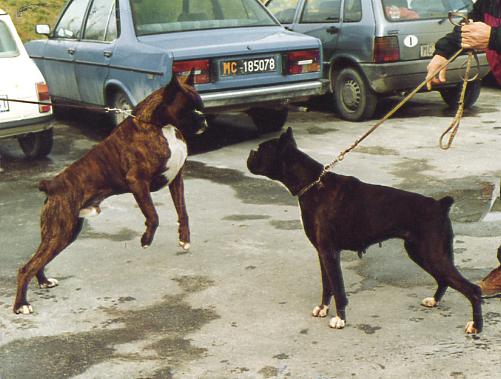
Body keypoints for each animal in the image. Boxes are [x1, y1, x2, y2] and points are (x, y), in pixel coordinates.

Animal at [13, 72, 206, 316]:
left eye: (200, 106)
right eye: (188, 109)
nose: (204, 120)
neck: (161, 126)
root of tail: (51, 184)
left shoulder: (176, 178)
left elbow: (183, 212)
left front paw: (184, 239)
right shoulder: (137, 182)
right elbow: (153, 215)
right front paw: (145, 240)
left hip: (63, 233)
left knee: (37, 261)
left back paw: (44, 282)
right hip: (60, 231)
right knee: (26, 267)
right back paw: (21, 305)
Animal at [248, 128, 482, 336]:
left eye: (261, 150)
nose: (249, 153)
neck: (313, 184)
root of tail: (441, 204)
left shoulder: (329, 253)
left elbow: (338, 288)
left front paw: (340, 319)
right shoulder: (322, 252)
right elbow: (327, 285)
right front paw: (323, 309)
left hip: (431, 254)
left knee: (473, 289)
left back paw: (476, 326)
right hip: (424, 253)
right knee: (444, 279)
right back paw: (434, 301)